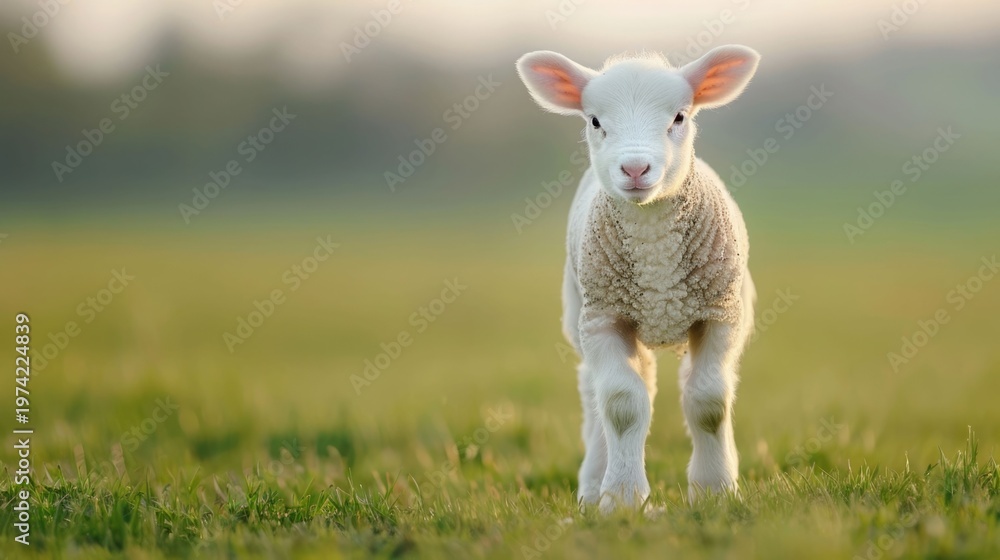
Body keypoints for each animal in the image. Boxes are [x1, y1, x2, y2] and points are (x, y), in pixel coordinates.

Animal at [515, 45, 760, 512]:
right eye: (595, 121)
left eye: (679, 117)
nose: (634, 168)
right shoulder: (604, 319)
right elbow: (622, 405)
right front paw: (623, 499)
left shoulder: (719, 315)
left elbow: (709, 402)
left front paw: (715, 491)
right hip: (581, 313)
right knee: (599, 394)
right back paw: (593, 484)